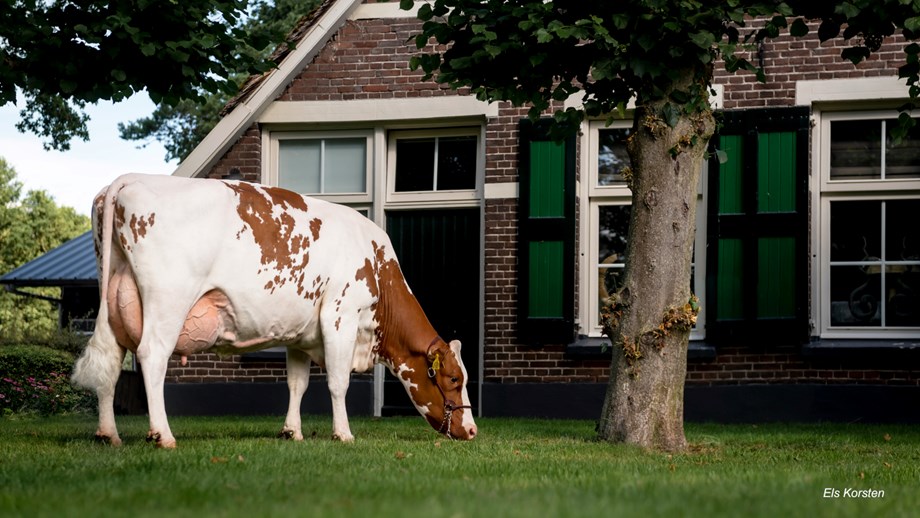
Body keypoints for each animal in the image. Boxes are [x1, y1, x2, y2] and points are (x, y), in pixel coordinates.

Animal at [71, 173, 477, 448]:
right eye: (453, 380)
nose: (472, 430)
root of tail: (129, 178)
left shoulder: (301, 335)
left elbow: (297, 384)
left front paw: (291, 431)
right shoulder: (340, 316)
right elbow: (338, 382)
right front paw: (343, 434)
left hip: (112, 300)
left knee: (110, 362)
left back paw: (108, 434)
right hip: (168, 299)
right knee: (152, 357)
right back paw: (163, 435)